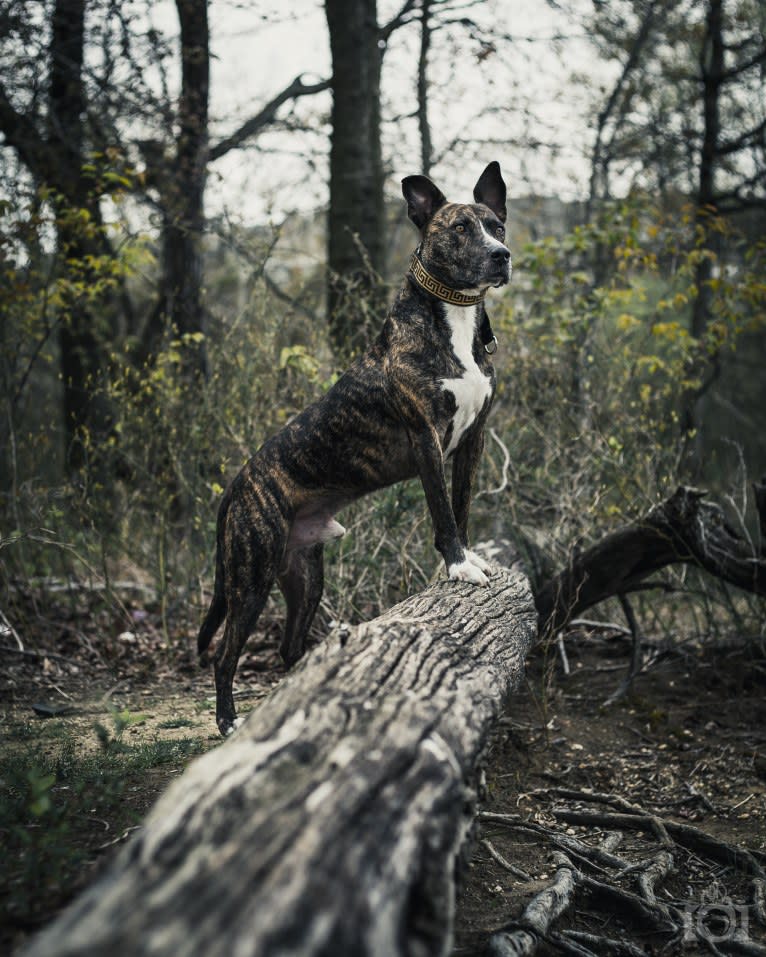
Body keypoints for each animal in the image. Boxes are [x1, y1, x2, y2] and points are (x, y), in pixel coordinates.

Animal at [200, 162, 510, 732]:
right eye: (460, 228)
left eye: (497, 225)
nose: (502, 255)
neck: (451, 319)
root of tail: (239, 484)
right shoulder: (426, 439)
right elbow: (442, 512)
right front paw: (458, 566)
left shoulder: (472, 440)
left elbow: (460, 506)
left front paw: (470, 558)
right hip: (250, 576)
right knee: (224, 653)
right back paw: (229, 720)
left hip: (304, 574)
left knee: (288, 648)